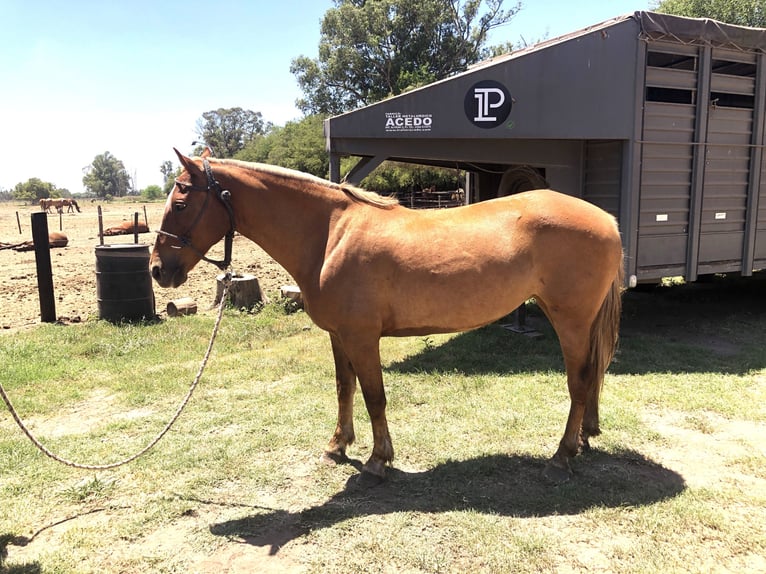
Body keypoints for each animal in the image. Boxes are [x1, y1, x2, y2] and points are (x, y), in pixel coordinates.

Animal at [150, 148, 624, 484]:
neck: (330, 234)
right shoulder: (339, 336)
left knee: (580, 380)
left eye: (180, 202)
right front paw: (338, 446)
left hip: (571, 321)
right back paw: (583, 439)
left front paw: (379, 460)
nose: (158, 270)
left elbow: (374, 396)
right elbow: (344, 389)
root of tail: (608, 219)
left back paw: (562, 456)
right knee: (590, 381)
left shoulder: (362, 337)